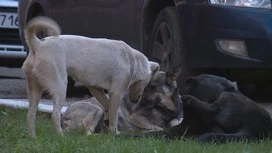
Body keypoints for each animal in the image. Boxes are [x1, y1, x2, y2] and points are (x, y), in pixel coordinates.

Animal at [23, 17, 160, 137]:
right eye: (146, 84)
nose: (135, 101)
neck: (133, 60)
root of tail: (38, 44)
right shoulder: (116, 93)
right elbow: (114, 115)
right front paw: (114, 133)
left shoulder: (95, 89)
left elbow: (108, 107)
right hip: (60, 87)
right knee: (55, 115)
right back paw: (61, 136)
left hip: (35, 89)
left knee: (31, 114)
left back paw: (32, 137)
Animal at [134, 74, 272, 143]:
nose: (191, 80)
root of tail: (255, 129)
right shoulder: (185, 127)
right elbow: (153, 133)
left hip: (226, 96)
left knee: (212, 109)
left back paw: (188, 98)